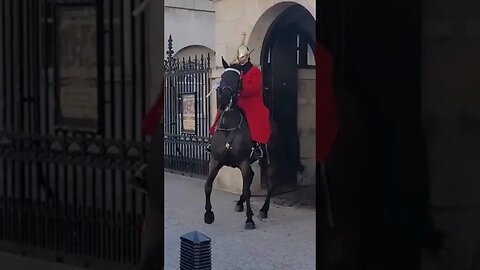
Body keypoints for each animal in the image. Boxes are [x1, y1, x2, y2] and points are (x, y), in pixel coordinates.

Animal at [204, 58, 280, 230]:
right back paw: (240, 203)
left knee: (270, 182)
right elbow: (208, 185)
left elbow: (247, 190)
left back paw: (264, 210)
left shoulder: (244, 162)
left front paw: (249, 220)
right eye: (223, 77)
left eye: (238, 80)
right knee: (251, 178)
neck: (228, 128)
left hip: (269, 159)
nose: (224, 100)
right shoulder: (215, 161)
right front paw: (208, 215)